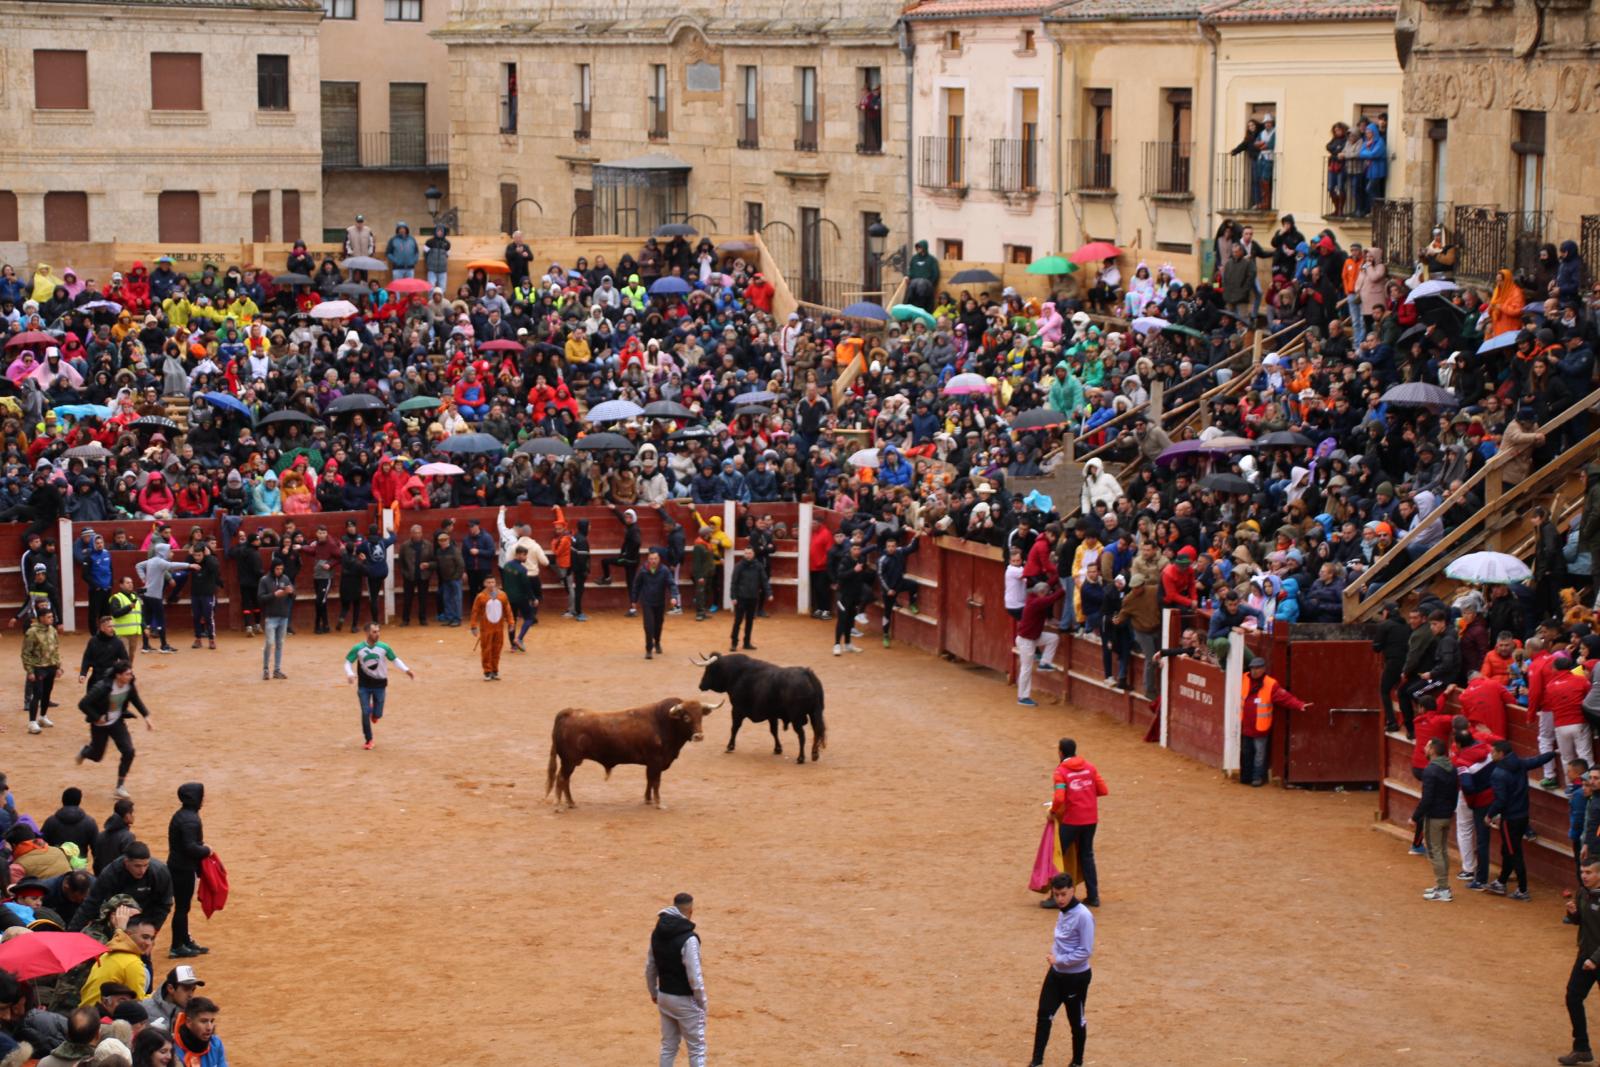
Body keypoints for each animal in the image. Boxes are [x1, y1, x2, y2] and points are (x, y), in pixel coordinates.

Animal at [550, 697, 726, 812]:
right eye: (686, 716)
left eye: (701, 715)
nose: (699, 736)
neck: (664, 722)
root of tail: (569, 712)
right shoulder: (656, 761)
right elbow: (656, 782)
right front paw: (659, 803)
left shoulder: (652, 764)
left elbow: (649, 780)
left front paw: (648, 800)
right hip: (569, 761)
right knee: (561, 779)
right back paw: (559, 806)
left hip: (569, 762)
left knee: (565, 780)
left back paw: (571, 803)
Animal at [694, 655, 832, 764]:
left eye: (709, 670)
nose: (700, 685)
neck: (736, 674)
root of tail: (807, 673)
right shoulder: (772, 715)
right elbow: (774, 731)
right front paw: (778, 749)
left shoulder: (737, 710)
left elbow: (734, 728)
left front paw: (730, 746)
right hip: (815, 714)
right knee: (817, 731)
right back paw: (814, 754)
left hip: (796, 718)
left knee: (802, 735)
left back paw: (801, 758)